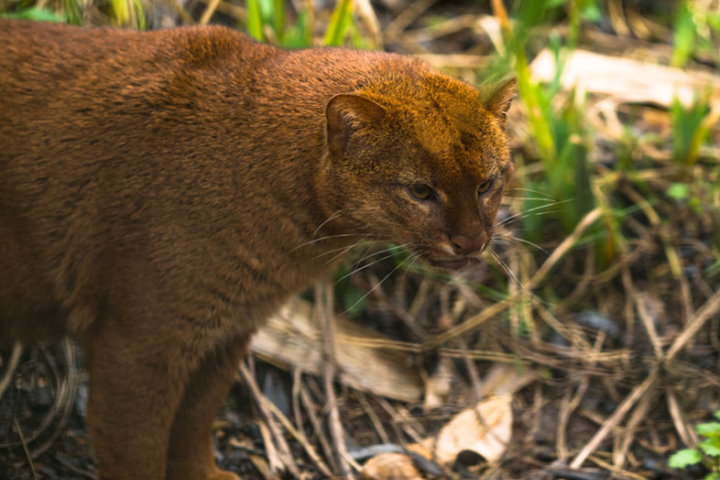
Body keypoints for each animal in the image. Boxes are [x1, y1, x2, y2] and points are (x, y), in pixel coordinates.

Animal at [1, 18, 516, 480]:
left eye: (488, 183)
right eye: (420, 191)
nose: (472, 240)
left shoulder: (225, 331)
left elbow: (194, 422)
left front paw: (206, 477)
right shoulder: (138, 340)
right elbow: (135, 450)